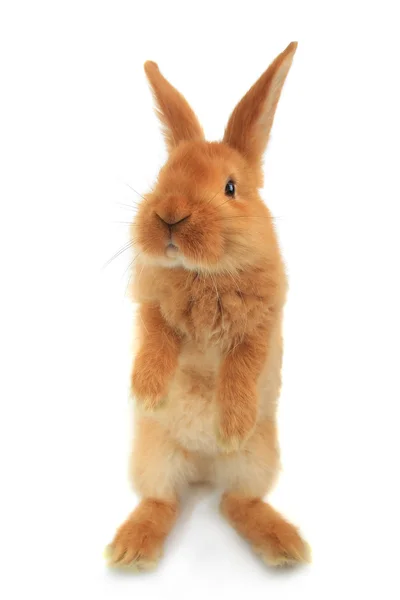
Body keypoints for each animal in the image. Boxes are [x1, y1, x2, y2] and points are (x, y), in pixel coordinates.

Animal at [106, 43, 310, 572]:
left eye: (230, 188)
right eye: (162, 176)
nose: (169, 215)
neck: (204, 274)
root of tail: (200, 467)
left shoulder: (262, 325)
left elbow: (243, 366)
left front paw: (232, 424)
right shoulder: (151, 306)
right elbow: (157, 337)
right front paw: (147, 393)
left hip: (257, 461)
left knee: (236, 502)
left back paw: (283, 544)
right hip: (153, 456)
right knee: (163, 501)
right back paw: (132, 548)